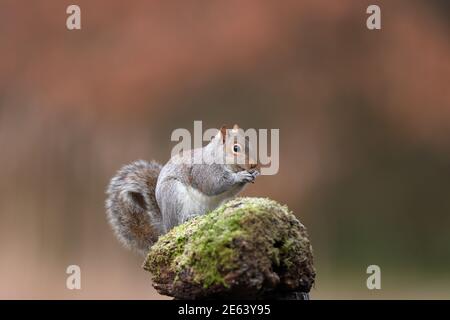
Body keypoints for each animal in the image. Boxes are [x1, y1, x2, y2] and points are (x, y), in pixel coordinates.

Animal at [105, 124, 258, 256]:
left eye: (249, 143)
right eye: (236, 148)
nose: (253, 164)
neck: (217, 156)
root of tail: (165, 227)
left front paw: (253, 174)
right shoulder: (204, 171)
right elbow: (214, 185)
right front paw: (240, 176)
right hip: (173, 194)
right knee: (177, 223)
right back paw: (188, 218)